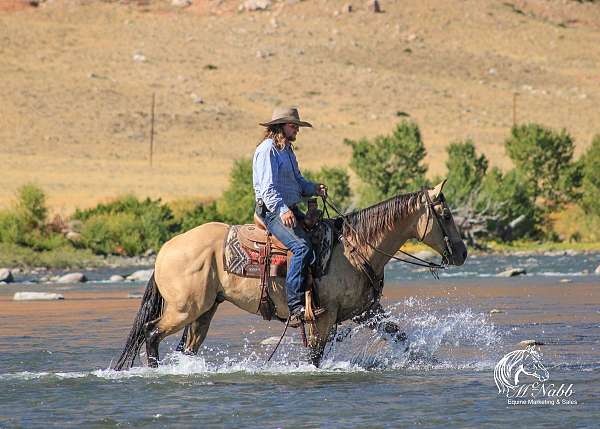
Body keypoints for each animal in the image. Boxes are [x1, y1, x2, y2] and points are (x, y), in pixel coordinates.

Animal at [113, 179, 468, 370]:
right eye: (447, 215)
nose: (463, 253)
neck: (355, 250)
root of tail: (165, 249)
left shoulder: (367, 311)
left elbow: (401, 337)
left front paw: (431, 363)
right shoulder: (324, 316)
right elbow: (316, 355)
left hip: (204, 311)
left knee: (185, 346)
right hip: (184, 309)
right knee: (150, 333)